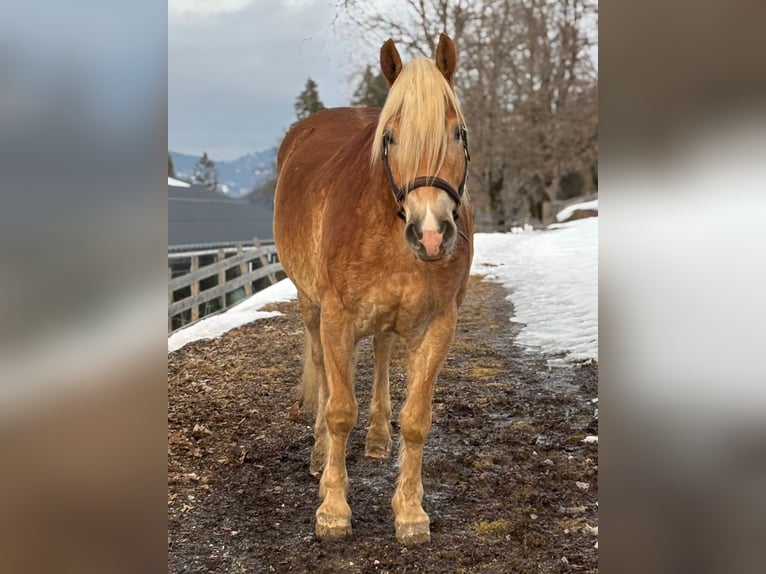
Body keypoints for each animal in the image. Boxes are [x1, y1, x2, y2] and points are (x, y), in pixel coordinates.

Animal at [273, 33, 473, 545]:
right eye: (390, 138)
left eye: (457, 134)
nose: (431, 234)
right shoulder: (337, 318)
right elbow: (340, 409)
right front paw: (333, 509)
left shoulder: (439, 325)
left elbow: (417, 419)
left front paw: (410, 511)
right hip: (312, 308)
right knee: (324, 373)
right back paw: (319, 453)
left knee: (382, 352)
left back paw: (380, 437)